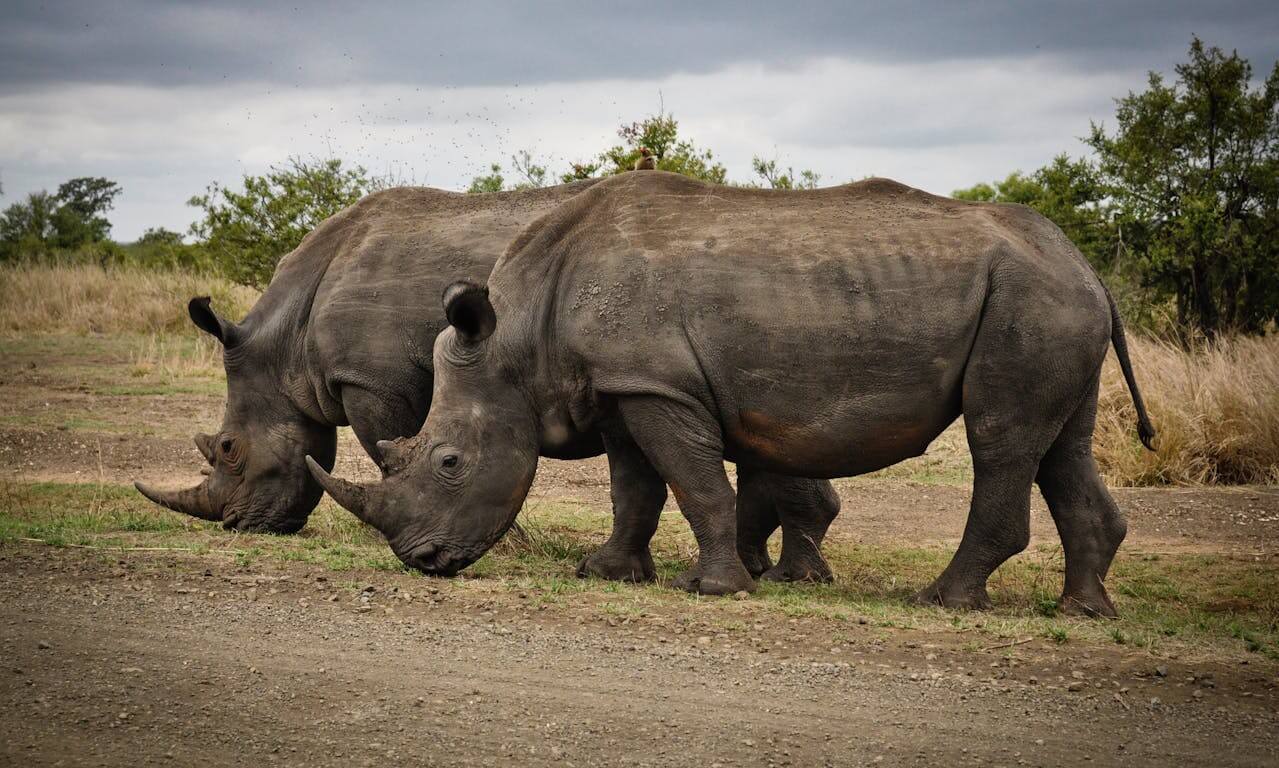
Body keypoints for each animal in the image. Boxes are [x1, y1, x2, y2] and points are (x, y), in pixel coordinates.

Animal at [135, 181, 839, 583]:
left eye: (229, 450)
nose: (235, 524)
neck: (286, 342)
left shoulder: (372, 382)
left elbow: (392, 449)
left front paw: (509, 544)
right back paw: (769, 567)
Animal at [308, 171, 1156, 614]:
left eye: (448, 461)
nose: (422, 559)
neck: (518, 337)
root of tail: (1087, 268)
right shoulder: (624, 386)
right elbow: (634, 488)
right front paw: (607, 572)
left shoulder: (660, 388)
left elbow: (693, 484)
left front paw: (713, 588)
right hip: (1048, 302)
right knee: (1058, 445)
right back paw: (1082, 609)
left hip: (1030, 303)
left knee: (999, 439)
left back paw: (942, 600)